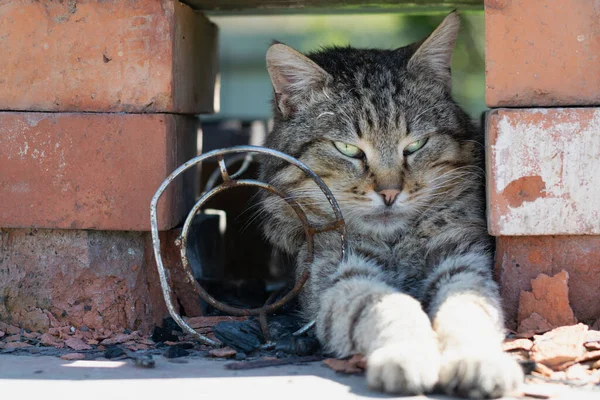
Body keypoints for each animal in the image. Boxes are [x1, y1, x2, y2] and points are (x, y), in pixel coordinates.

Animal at [258, 12, 524, 400]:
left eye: (415, 145)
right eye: (348, 149)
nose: (389, 192)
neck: (395, 241)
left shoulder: (462, 256)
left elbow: (468, 306)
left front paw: (478, 360)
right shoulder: (338, 272)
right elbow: (388, 306)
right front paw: (408, 354)